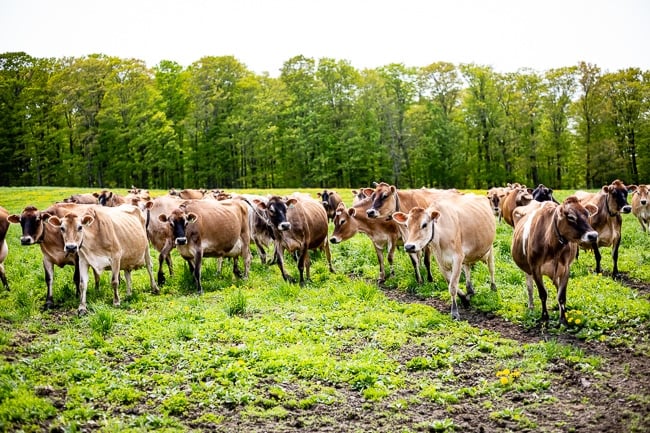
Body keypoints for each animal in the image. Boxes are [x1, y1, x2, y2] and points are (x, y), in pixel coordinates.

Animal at [508, 196, 596, 324]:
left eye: (587, 214)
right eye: (571, 217)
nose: (593, 235)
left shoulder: (566, 269)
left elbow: (561, 296)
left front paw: (563, 319)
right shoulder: (535, 268)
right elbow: (543, 294)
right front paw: (545, 317)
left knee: (557, 286)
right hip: (526, 268)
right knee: (529, 287)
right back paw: (531, 307)